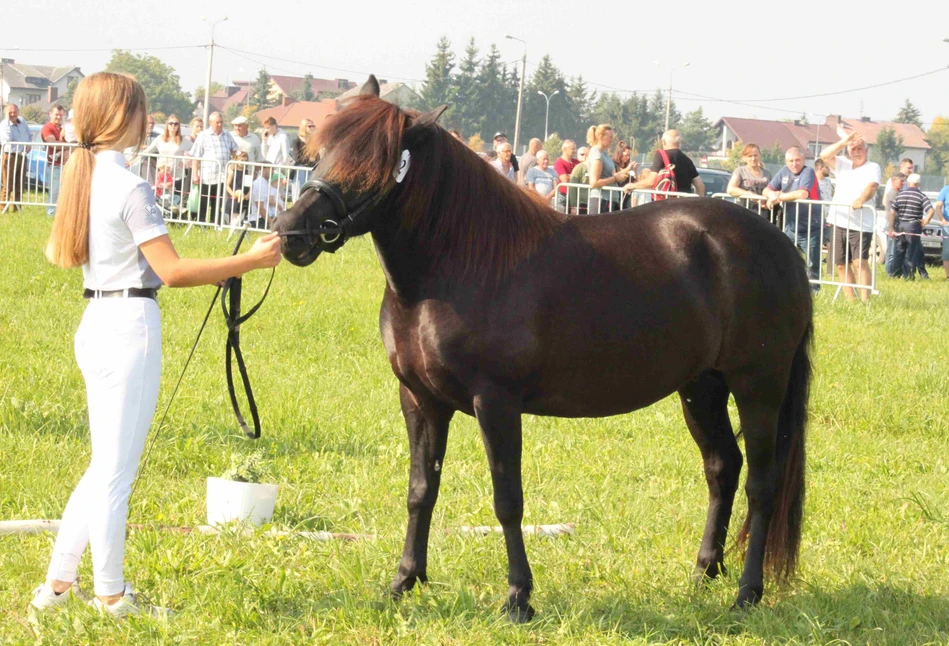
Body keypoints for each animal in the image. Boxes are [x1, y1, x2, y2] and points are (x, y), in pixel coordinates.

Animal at [274, 77, 816, 628]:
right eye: (319, 152)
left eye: (378, 164)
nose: (290, 232)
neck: (459, 266)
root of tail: (784, 248)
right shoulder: (420, 401)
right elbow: (421, 490)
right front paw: (404, 581)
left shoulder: (495, 403)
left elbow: (507, 500)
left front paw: (518, 597)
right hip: (701, 388)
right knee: (723, 469)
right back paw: (705, 571)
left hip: (758, 387)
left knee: (762, 484)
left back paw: (747, 592)